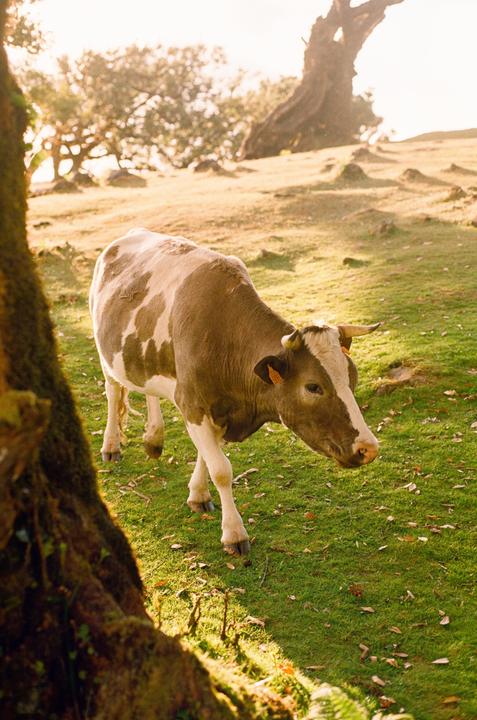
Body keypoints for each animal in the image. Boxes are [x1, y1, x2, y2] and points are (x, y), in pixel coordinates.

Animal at [89, 228, 380, 556]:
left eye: (353, 377)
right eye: (313, 386)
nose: (368, 448)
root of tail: (129, 234)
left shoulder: (217, 407)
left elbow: (207, 454)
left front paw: (198, 494)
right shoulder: (193, 403)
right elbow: (221, 469)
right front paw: (234, 533)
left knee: (148, 388)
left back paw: (153, 439)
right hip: (105, 353)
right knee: (113, 392)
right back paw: (111, 446)